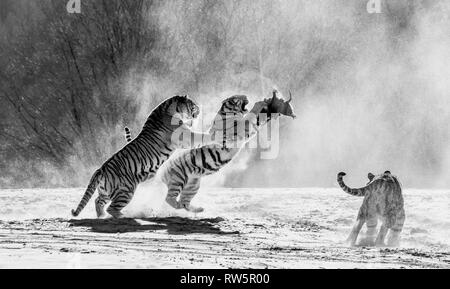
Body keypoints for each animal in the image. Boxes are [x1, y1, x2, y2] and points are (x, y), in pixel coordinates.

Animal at [71, 94, 217, 218]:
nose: (199, 111)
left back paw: (101, 216)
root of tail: (100, 169)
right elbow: (200, 136)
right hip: (126, 190)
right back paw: (124, 216)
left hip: (106, 191)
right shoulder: (184, 135)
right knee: (111, 208)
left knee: (98, 201)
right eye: (193, 105)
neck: (169, 109)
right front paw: (213, 133)